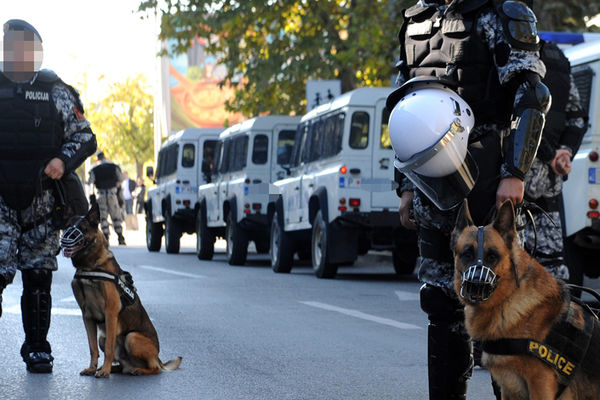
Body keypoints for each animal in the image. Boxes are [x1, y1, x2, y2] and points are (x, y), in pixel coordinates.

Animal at [61, 200, 184, 378]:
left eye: (83, 228)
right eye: (67, 227)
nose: (65, 239)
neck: (90, 266)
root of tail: (159, 357)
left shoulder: (110, 312)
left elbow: (109, 350)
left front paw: (104, 371)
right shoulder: (87, 316)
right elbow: (92, 348)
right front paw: (93, 368)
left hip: (131, 337)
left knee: (155, 368)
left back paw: (136, 370)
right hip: (103, 338)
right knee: (120, 363)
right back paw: (111, 368)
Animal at [452, 202, 596, 398]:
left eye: (492, 256)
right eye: (467, 254)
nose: (475, 284)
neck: (509, 298)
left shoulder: (540, 384)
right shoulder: (509, 389)